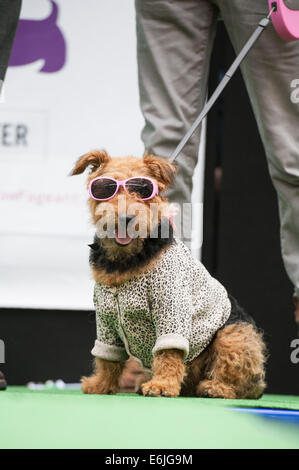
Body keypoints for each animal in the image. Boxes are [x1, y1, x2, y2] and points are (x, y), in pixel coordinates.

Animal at [71, 150, 268, 396]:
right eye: (106, 188)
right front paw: (100, 385)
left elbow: (168, 354)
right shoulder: (106, 317)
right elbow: (108, 360)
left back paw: (215, 388)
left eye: (143, 190)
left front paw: (162, 385)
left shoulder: (171, 307)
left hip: (234, 335)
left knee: (234, 376)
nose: (126, 218)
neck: (126, 262)